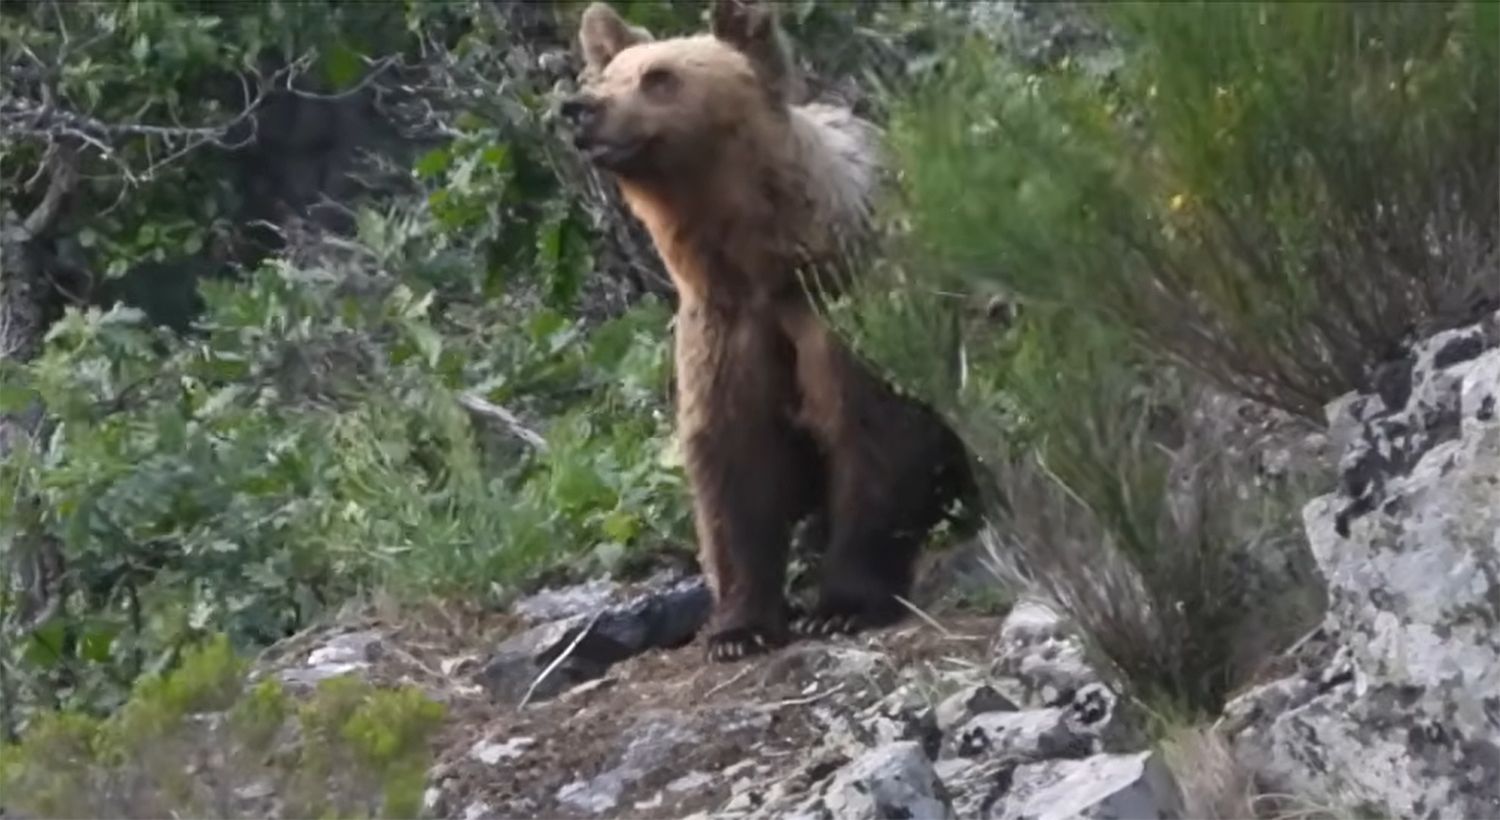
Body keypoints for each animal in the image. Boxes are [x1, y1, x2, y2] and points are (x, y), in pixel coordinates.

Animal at [564, 0, 976, 661]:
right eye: (606, 73)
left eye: (658, 77)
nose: (580, 109)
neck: (764, 261)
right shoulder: (725, 327)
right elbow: (733, 465)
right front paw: (739, 627)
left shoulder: (840, 306)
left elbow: (877, 435)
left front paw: (844, 605)